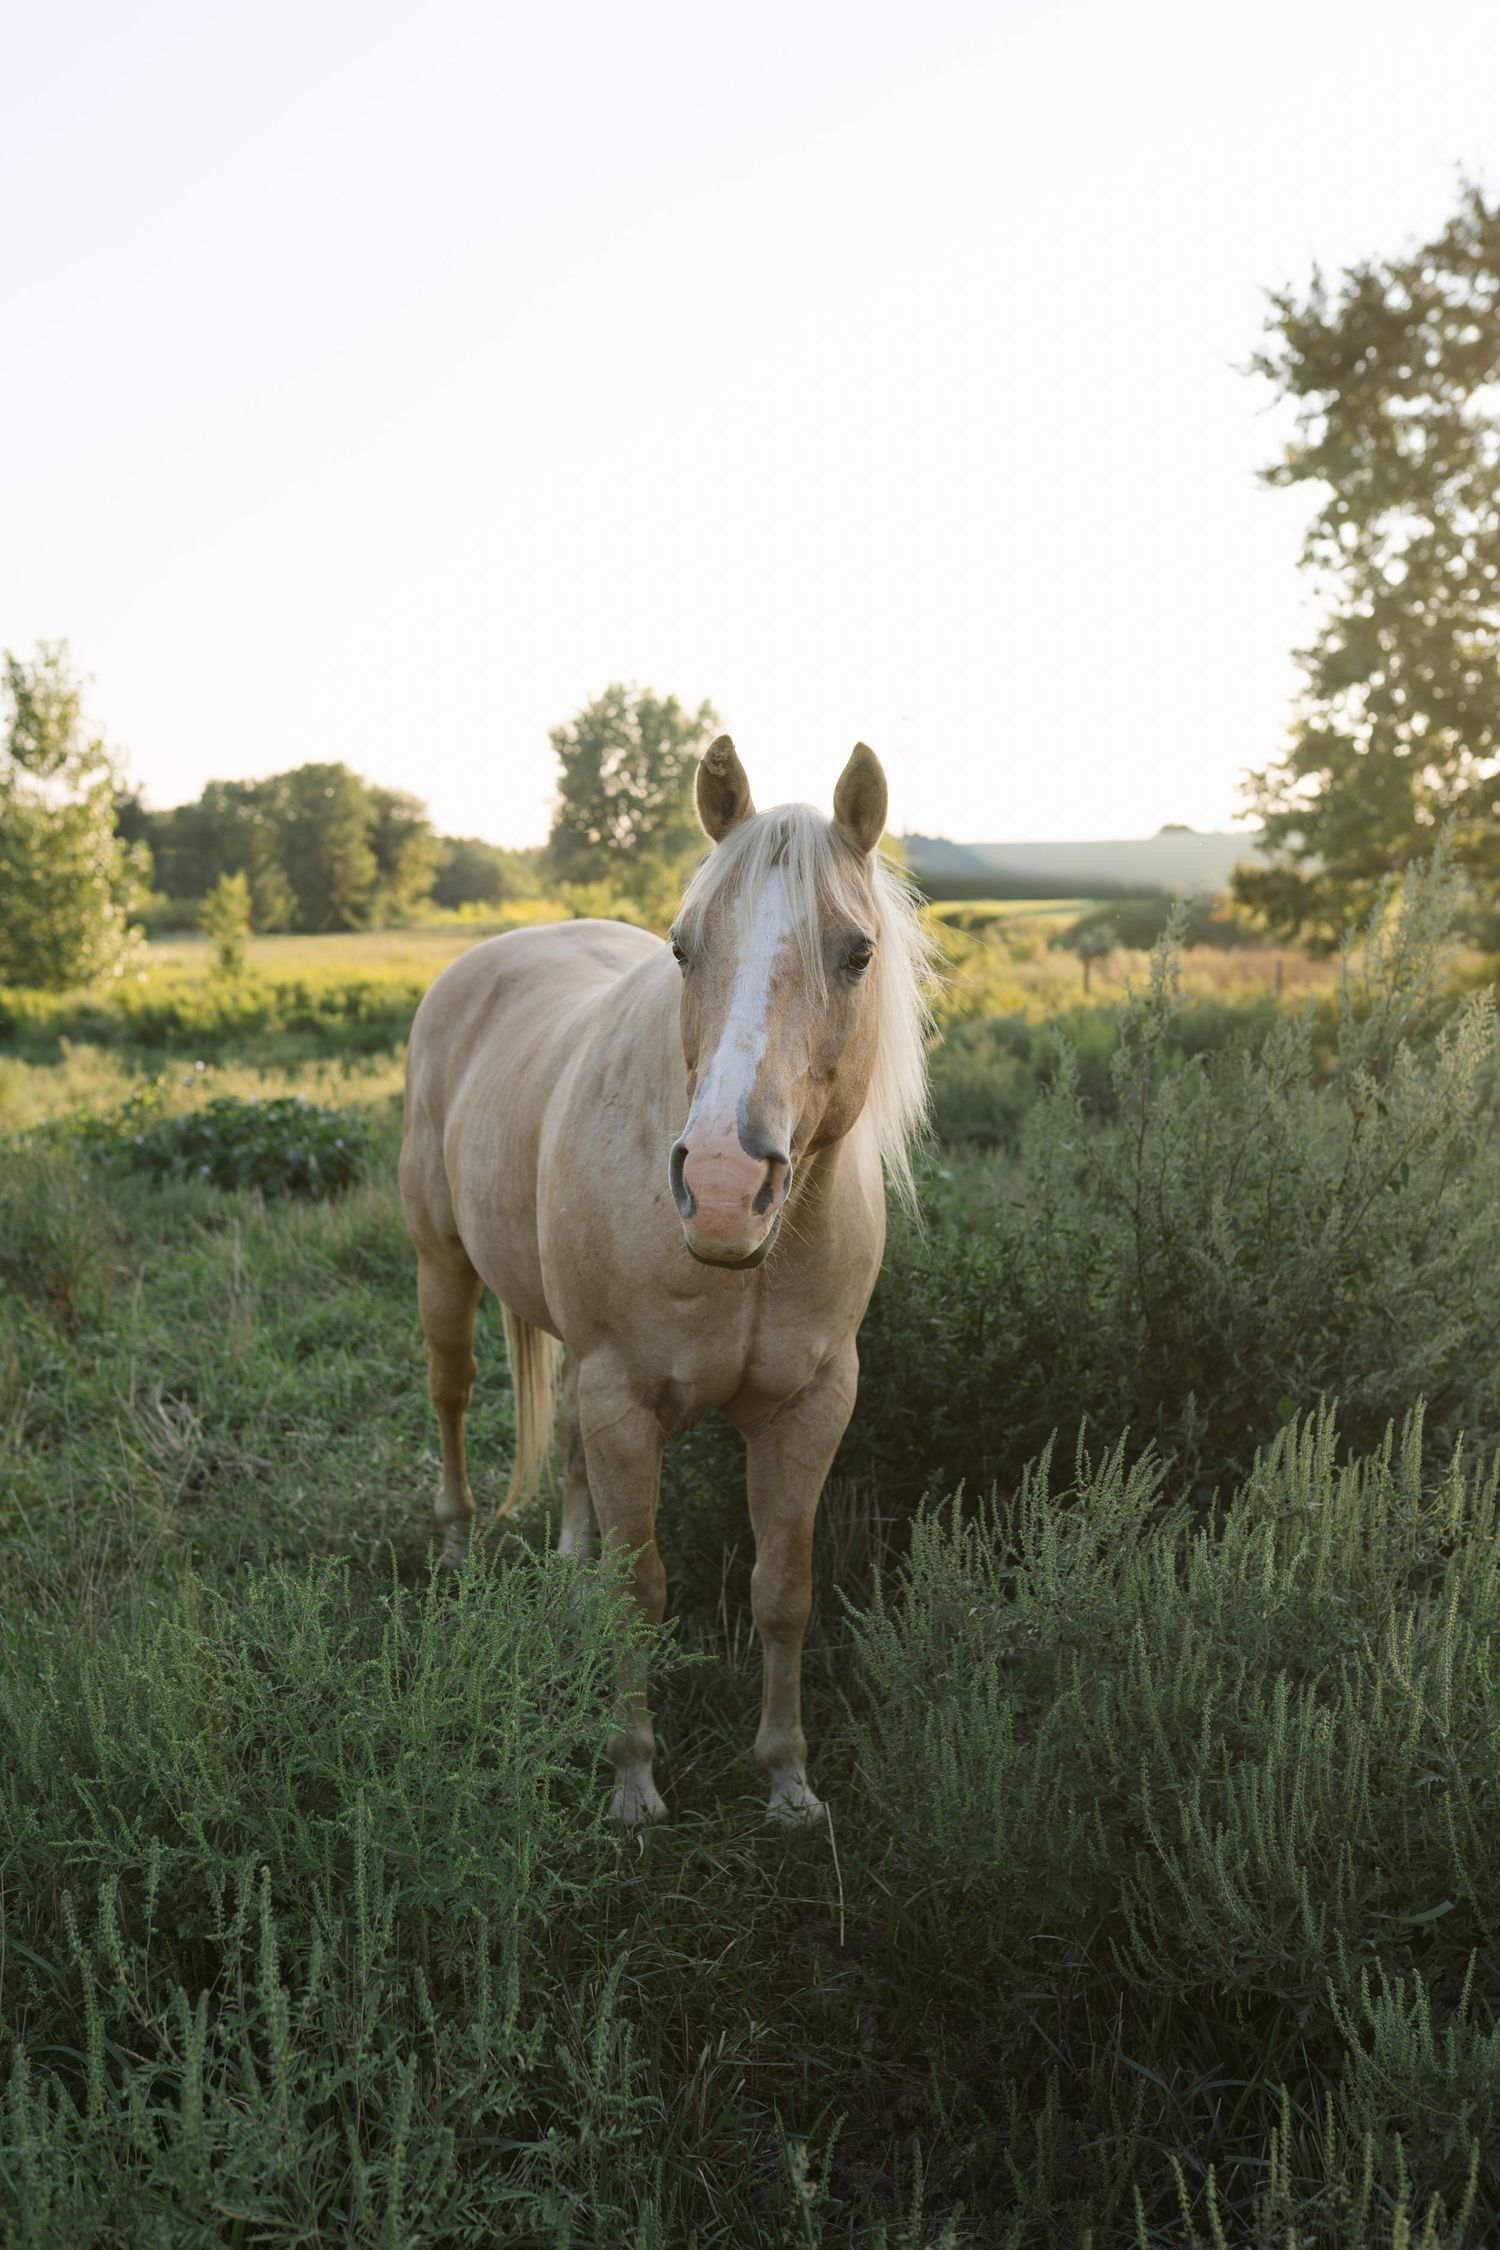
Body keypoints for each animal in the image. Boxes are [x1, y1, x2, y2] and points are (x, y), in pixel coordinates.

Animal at [399, 738, 932, 1825]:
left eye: (857, 952)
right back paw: (459, 1547)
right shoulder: (627, 1401)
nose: (725, 1188)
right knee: (452, 1396)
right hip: (443, 1267)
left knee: (560, 1438)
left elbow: (783, 1587)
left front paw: (788, 1780)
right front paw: (634, 1779)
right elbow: (640, 1591)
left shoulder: (813, 1405)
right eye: (683, 948)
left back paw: (565, 1563)